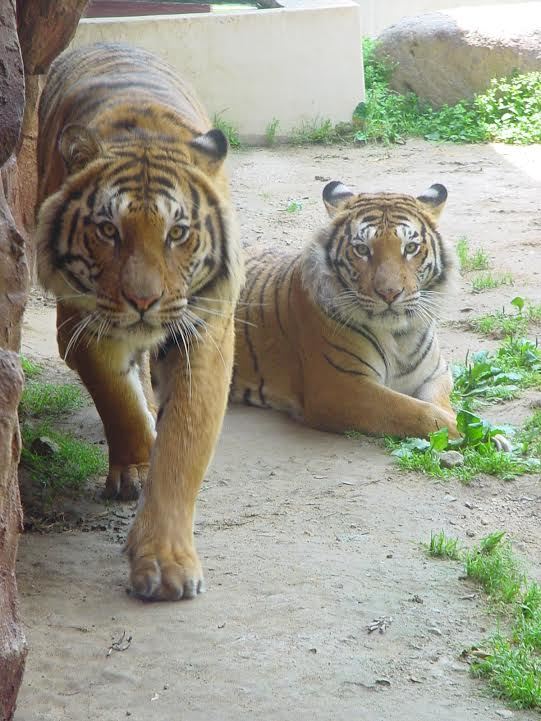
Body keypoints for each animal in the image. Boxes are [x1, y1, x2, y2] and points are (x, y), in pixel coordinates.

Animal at [35, 42, 243, 600]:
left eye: (178, 233)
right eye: (108, 230)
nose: (144, 301)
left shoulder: (206, 331)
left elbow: (183, 444)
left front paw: (166, 562)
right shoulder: (81, 323)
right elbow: (119, 401)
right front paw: (135, 464)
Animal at [230, 180, 458, 438]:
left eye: (410, 247)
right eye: (362, 249)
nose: (389, 293)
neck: (399, 338)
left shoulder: (436, 373)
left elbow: (438, 403)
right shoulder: (339, 387)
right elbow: (415, 411)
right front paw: (465, 431)